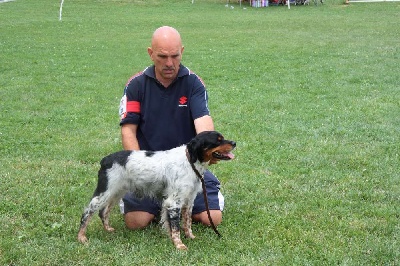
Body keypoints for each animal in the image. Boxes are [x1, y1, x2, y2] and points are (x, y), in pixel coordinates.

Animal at [76, 131, 236, 249]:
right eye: (218, 140)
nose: (234, 143)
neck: (189, 162)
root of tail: (105, 160)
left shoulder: (188, 201)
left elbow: (187, 222)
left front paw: (190, 237)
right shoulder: (174, 202)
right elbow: (176, 227)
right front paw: (179, 245)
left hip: (116, 192)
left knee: (103, 212)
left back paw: (108, 229)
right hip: (105, 192)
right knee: (87, 212)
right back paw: (81, 237)